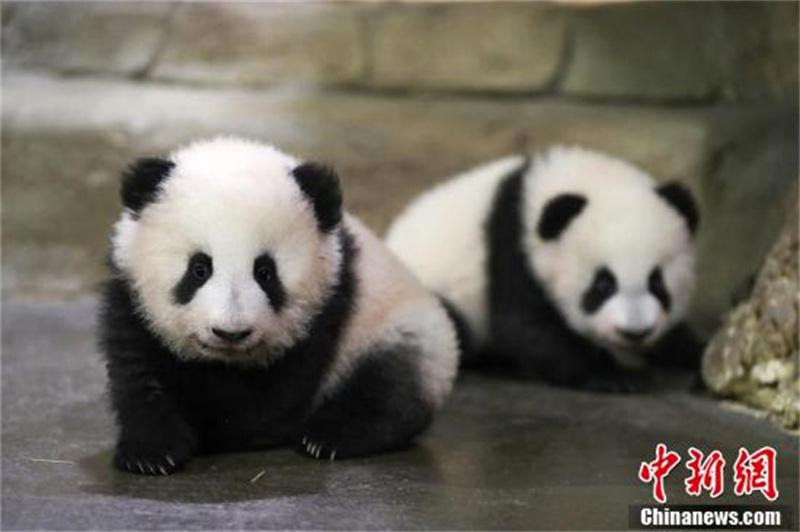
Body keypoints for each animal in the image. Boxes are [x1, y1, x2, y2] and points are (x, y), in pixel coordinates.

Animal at [99, 137, 459, 475]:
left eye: (265, 272)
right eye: (199, 268)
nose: (231, 333)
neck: (225, 361)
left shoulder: (328, 306)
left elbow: (271, 398)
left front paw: (221, 429)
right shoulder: (131, 300)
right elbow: (139, 373)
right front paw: (151, 453)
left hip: (396, 327)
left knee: (388, 384)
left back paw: (330, 436)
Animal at [386, 146, 702, 393]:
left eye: (657, 283)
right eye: (603, 285)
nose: (635, 332)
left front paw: (691, 353)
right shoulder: (513, 248)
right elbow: (527, 327)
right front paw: (617, 376)